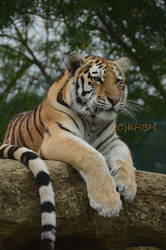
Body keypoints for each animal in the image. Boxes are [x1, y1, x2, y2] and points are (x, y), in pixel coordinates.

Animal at [0, 53, 137, 250]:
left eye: (118, 81)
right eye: (98, 79)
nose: (115, 100)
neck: (94, 121)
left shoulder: (112, 141)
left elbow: (124, 156)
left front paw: (128, 186)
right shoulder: (59, 137)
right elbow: (92, 155)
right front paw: (108, 202)